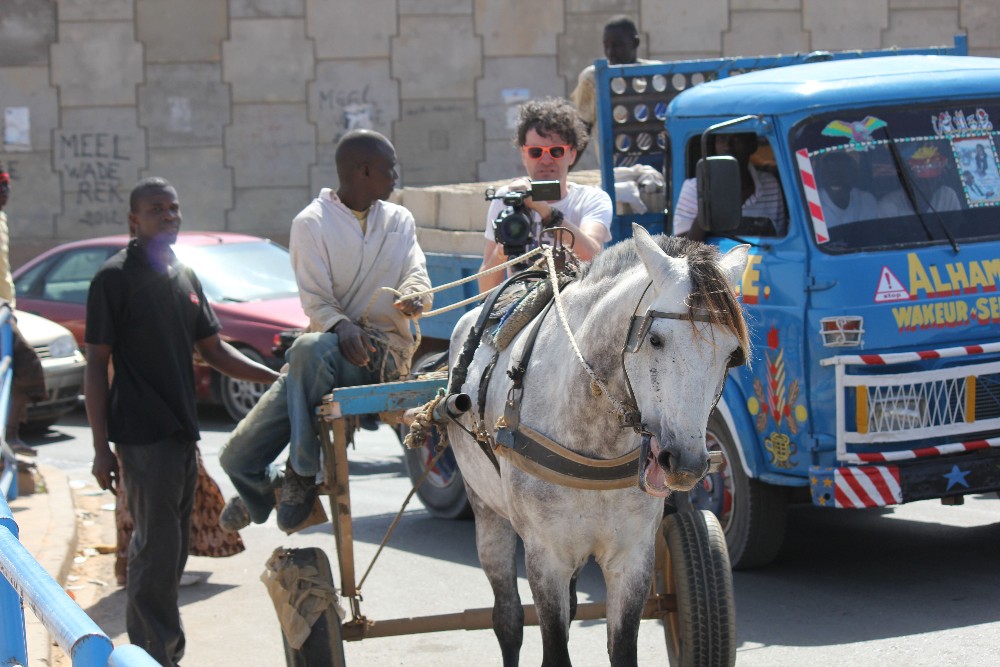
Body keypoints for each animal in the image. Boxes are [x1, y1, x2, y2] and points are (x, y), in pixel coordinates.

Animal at [448, 227, 752, 664]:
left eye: (731, 355)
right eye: (655, 339)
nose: (686, 462)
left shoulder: (632, 556)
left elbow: (622, 647)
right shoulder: (547, 556)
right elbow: (554, 649)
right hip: (488, 512)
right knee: (507, 620)